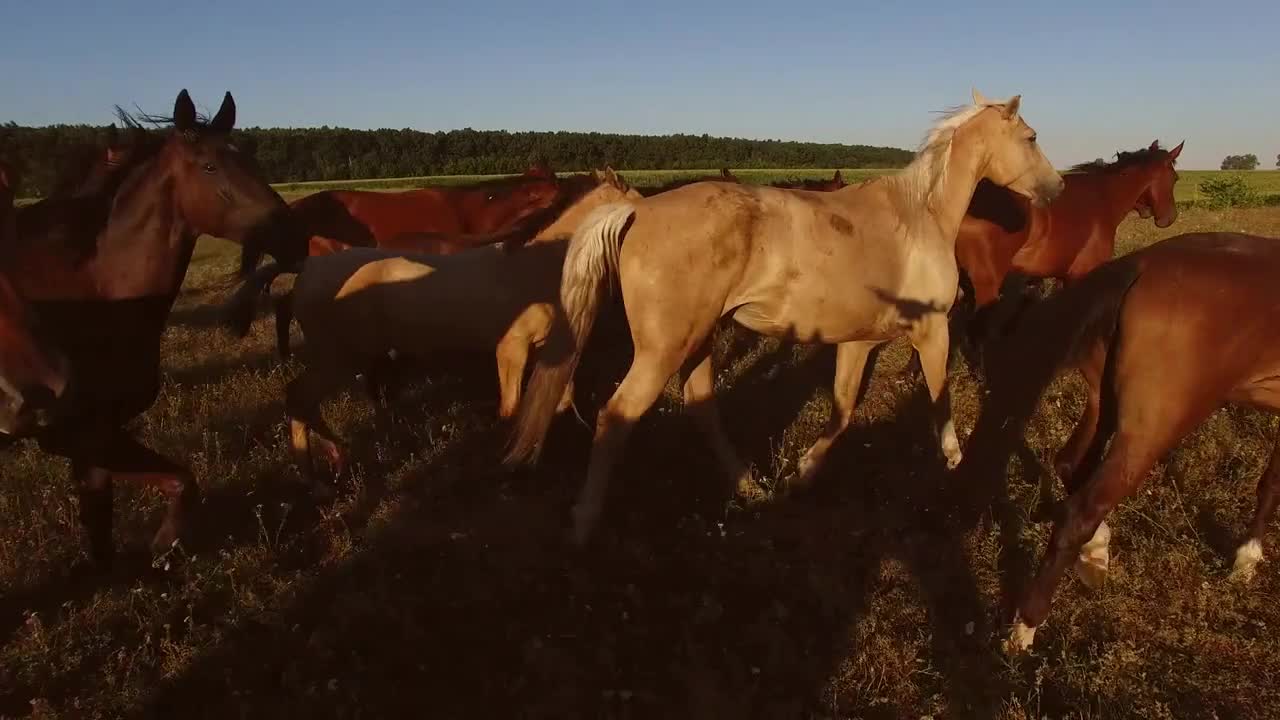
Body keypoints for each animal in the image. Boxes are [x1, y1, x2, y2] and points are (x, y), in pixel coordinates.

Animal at [224, 166, 645, 486]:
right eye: (638, 207)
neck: (535, 265)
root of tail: (306, 268)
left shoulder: (549, 349)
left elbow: (557, 403)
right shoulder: (510, 349)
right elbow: (511, 408)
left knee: (303, 401)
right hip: (339, 356)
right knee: (299, 397)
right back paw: (326, 467)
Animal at [504, 89, 1064, 543]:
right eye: (1032, 137)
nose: (1056, 189)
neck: (919, 218)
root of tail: (639, 212)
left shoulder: (857, 343)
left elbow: (842, 411)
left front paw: (801, 474)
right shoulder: (931, 332)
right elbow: (938, 399)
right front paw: (954, 463)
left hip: (698, 341)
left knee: (700, 405)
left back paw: (750, 488)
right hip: (663, 351)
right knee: (615, 415)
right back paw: (585, 523)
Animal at [962, 229, 1280, 650]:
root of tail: (1141, 266)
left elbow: (1271, 481)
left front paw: (1247, 557)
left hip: (1103, 404)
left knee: (1069, 464)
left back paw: (1096, 551)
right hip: (1150, 430)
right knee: (1082, 510)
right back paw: (1025, 628)